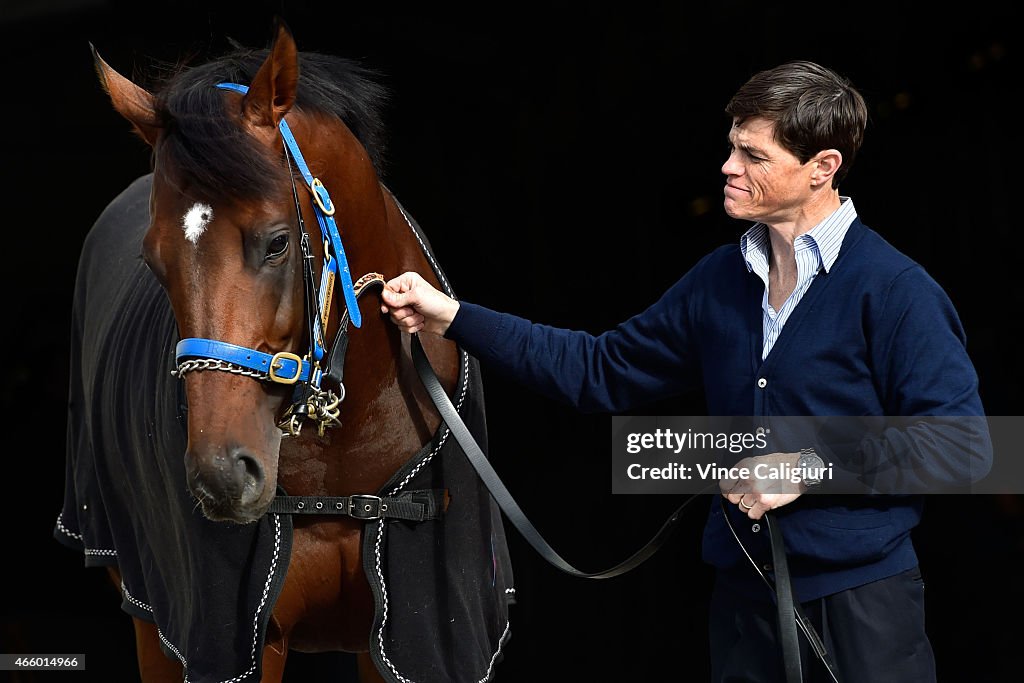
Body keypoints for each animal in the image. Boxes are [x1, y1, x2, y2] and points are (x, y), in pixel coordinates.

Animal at [52, 21, 516, 683]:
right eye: (154, 260)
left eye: (275, 243)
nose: (222, 476)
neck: (343, 466)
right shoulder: (235, 644)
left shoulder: (413, 644)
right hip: (147, 614)